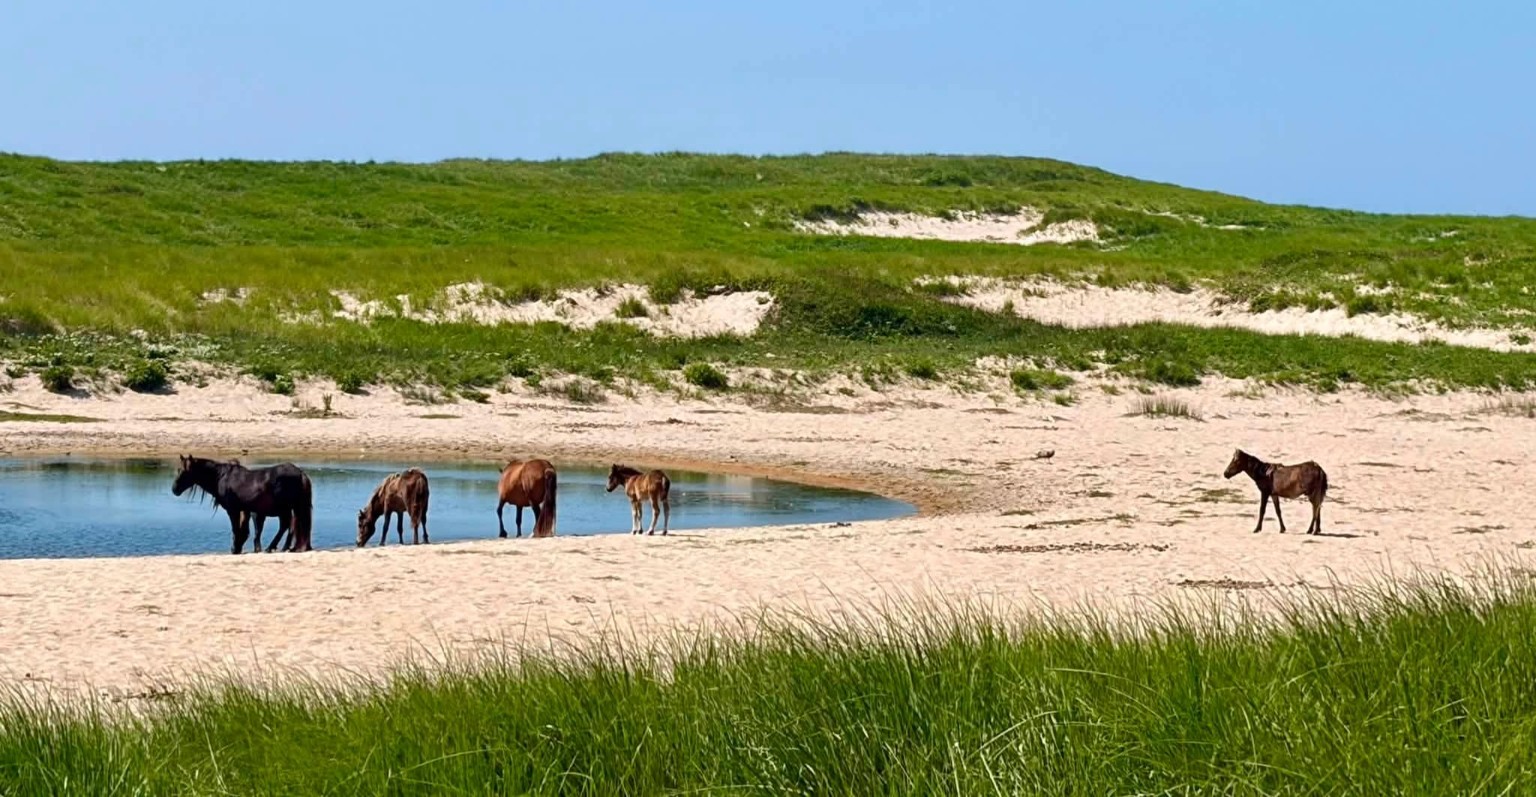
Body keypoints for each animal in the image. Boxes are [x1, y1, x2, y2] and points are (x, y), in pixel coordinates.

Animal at [172, 455, 315, 554]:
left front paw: (235, 549)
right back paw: (284, 547)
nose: (174, 489)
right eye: (178, 469)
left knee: (286, 525)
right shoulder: (246, 510)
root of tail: (300, 473)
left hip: (285, 508)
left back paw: (273, 547)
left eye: (185, 471)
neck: (222, 477)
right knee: (290, 526)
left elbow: (236, 529)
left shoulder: (233, 510)